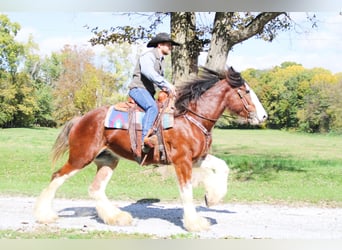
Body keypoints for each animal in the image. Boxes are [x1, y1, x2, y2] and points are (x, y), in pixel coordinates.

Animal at [35, 67, 270, 232]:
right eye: (246, 91)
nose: (264, 116)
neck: (189, 118)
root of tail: (81, 119)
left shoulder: (198, 158)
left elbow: (222, 167)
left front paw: (211, 198)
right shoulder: (182, 161)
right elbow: (186, 192)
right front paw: (195, 223)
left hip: (108, 159)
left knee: (96, 188)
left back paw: (116, 218)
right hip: (80, 157)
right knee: (57, 176)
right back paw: (44, 215)